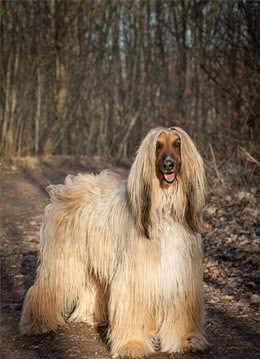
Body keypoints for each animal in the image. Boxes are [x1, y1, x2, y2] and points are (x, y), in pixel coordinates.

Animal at [19, 126, 207, 358]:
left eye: (177, 143)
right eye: (158, 145)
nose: (168, 164)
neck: (164, 208)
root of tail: (66, 188)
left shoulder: (180, 273)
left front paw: (184, 340)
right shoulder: (135, 275)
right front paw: (132, 345)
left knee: (91, 286)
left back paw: (89, 315)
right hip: (63, 257)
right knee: (45, 287)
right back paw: (36, 323)